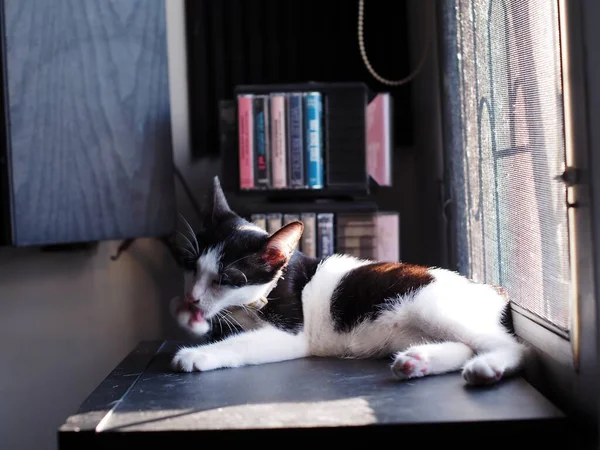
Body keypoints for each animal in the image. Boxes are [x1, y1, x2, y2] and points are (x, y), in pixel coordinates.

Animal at [168, 178, 524, 384]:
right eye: (190, 266)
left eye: (225, 279)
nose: (193, 297)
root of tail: (496, 290)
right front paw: (187, 315)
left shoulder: (292, 334)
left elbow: (241, 343)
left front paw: (197, 354)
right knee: (464, 345)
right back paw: (417, 362)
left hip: (429, 305)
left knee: (511, 346)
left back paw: (486, 367)